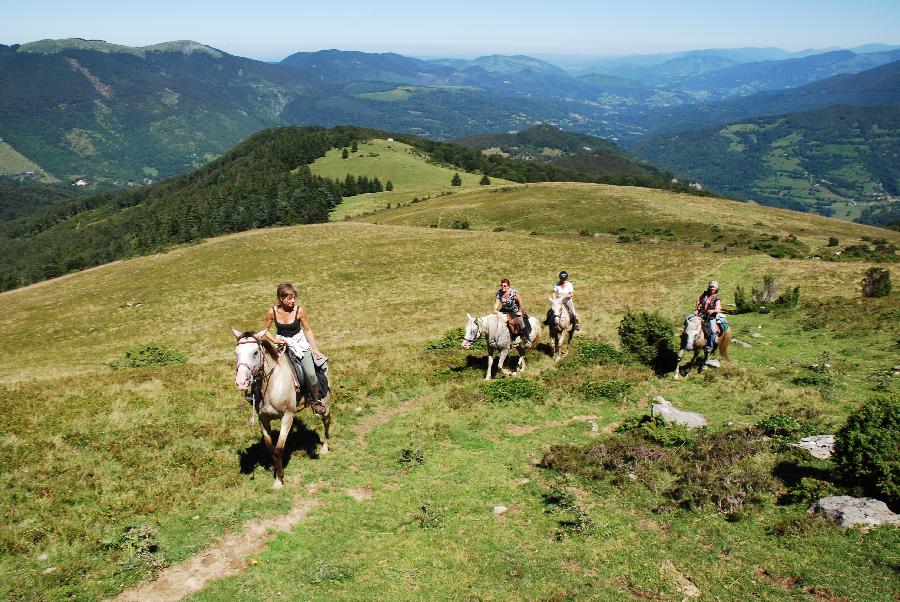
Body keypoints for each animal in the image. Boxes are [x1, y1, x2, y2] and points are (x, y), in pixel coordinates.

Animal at [232, 328, 330, 488]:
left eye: (255, 353)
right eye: (236, 353)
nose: (241, 382)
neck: (270, 385)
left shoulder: (287, 416)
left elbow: (278, 448)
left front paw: (279, 479)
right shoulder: (263, 419)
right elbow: (270, 447)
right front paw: (275, 469)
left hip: (325, 402)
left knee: (326, 421)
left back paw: (325, 448)